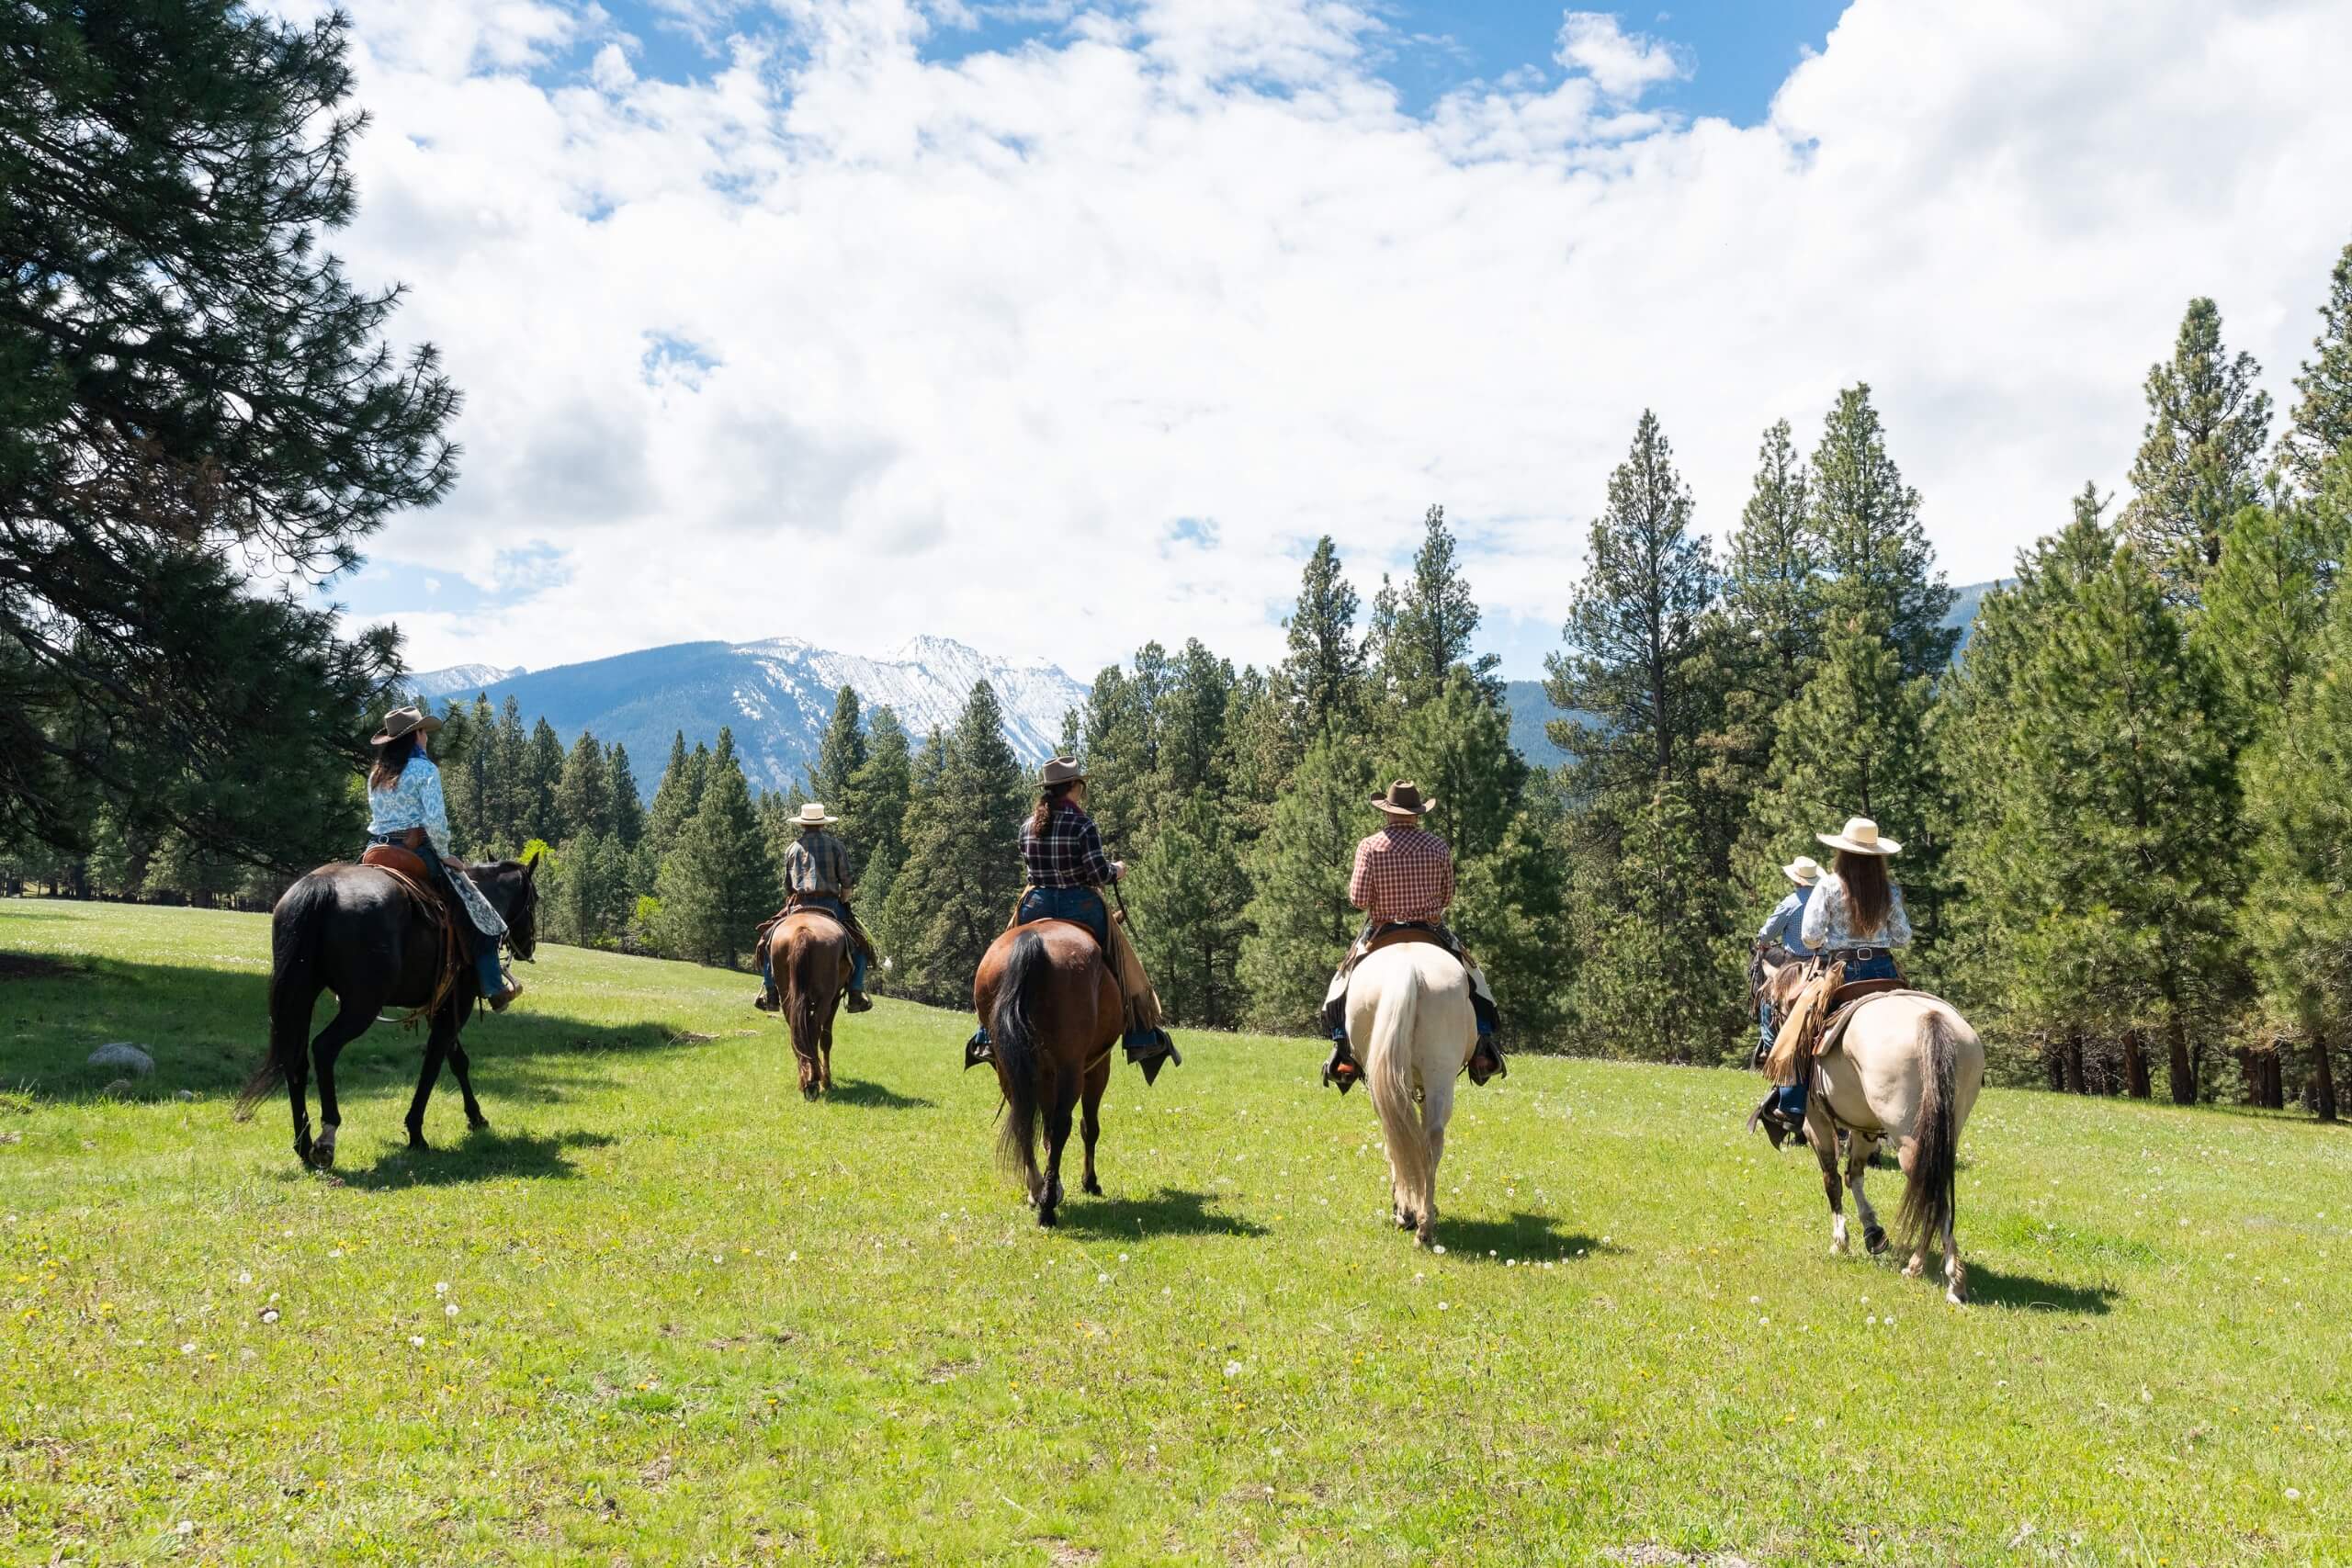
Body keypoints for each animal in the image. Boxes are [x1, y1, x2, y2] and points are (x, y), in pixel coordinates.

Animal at [232, 851, 538, 1170]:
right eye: (535, 898)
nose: (529, 946)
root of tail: (321, 886)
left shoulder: (441, 1005)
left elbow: (457, 1061)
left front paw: (476, 1117)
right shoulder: (459, 1002)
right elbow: (434, 1063)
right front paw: (416, 1132)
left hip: (302, 995)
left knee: (295, 1059)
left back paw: (303, 1146)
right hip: (361, 1006)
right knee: (324, 1048)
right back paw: (326, 1139)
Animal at [771, 907, 855, 1104]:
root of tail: (803, 931)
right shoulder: (834, 999)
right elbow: (826, 1039)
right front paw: (827, 1081)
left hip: (787, 996)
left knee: (797, 1032)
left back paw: (805, 1079)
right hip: (825, 1000)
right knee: (814, 1030)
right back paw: (814, 1080)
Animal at [973, 921, 1119, 1222]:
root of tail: (1031, 942)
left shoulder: (1043, 1075)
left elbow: (1045, 1130)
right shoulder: (1098, 1066)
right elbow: (1088, 1127)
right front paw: (1089, 1182)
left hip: (1009, 1068)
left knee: (1023, 1121)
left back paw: (1036, 1188)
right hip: (1071, 1068)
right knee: (1063, 1124)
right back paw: (1048, 1207)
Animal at [1354, 931, 1458, 1250]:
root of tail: (1408, 969)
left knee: (1404, 1135)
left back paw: (1416, 1218)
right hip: (1439, 1076)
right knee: (1429, 1138)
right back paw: (1423, 1223)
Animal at [1769, 964, 1984, 1306]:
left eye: (1775, 1005)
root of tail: (1931, 1018)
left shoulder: (1816, 1121)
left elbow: (1832, 1179)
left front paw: (1841, 1241)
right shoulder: (1864, 1128)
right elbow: (1854, 1175)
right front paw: (1873, 1233)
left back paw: (1947, 1278)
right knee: (1933, 1188)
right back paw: (1925, 1268)